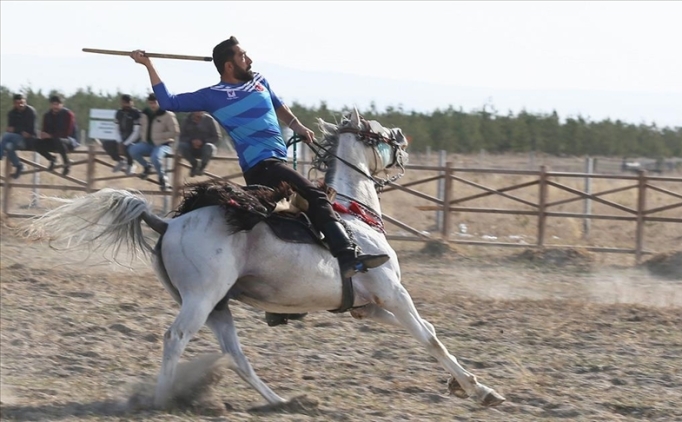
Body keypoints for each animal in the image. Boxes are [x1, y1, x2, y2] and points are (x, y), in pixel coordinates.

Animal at [25, 108, 504, 408]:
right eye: (377, 132)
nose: (403, 139)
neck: (353, 216)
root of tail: (166, 223)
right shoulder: (393, 294)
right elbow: (431, 337)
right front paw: (477, 389)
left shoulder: (367, 308)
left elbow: (425, 333)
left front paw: (473, 387)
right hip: (202, 298)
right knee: (175, 338)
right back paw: (160, 401)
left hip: (218, 306)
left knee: (235, 355)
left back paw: (281, 401)